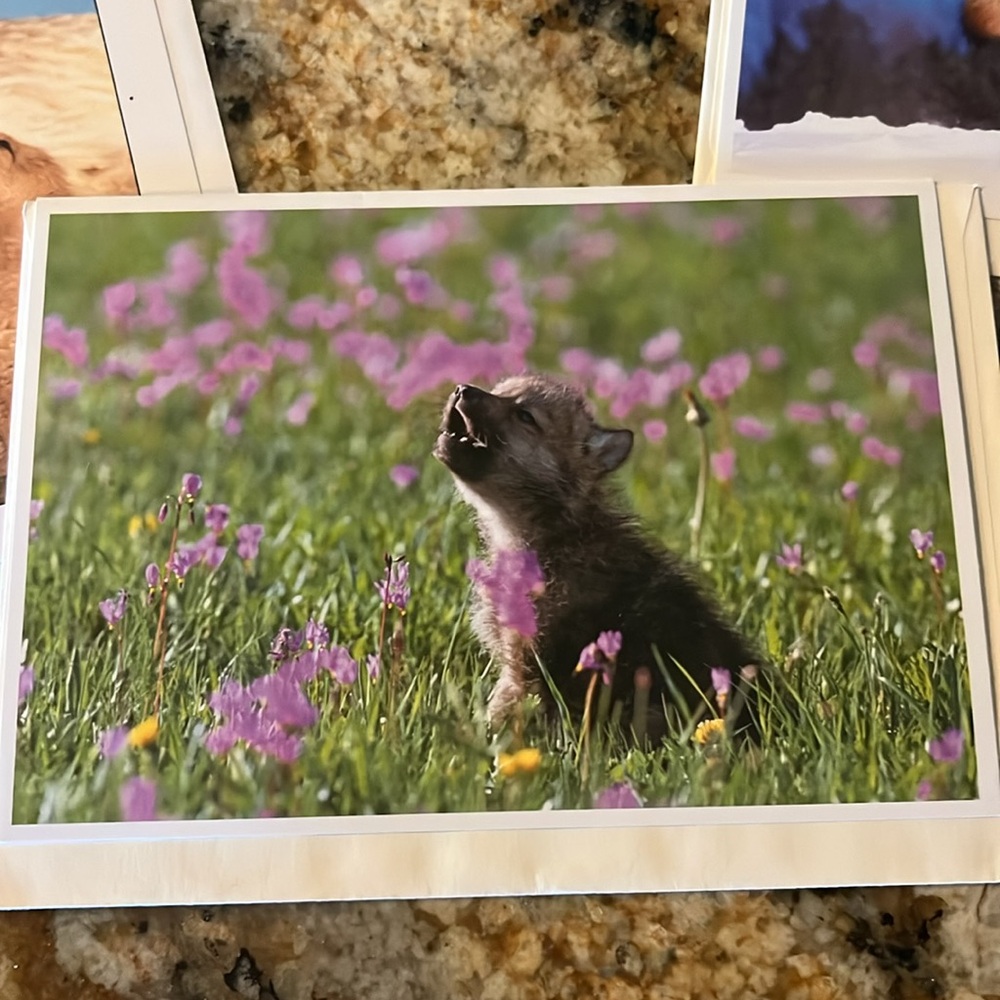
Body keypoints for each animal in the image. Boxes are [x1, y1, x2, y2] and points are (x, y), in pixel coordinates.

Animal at [434, 372, 759, 740]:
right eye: (499, 392)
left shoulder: (525, 664)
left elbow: (503, 709)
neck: (552, 534)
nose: (462, 389)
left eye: (525, 416)